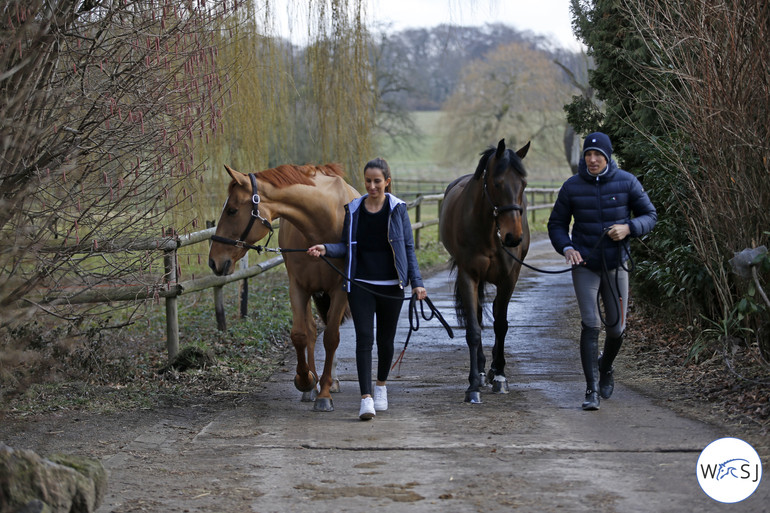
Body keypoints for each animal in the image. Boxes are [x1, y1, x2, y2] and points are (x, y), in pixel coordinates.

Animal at [206, 162, 358, 410]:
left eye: (232, 211)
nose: (213, 261)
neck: (323, 225)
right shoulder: (298, 287)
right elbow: (300, 335)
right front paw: (306, 380)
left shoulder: (340, 290)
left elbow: (331, 337)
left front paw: (325, 394)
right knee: (313, 330)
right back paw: (313, 385)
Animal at [438, 138, 528, 402]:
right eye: (497, 183)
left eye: (523, 184)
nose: (512, 237)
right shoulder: (469, 276)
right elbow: (474, 330)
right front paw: (473, 386)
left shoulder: (509, 279)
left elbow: (501, 325)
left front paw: (500, 377)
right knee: (477, 315)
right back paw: (480, 371)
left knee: (498, 314)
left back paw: (494, 370)